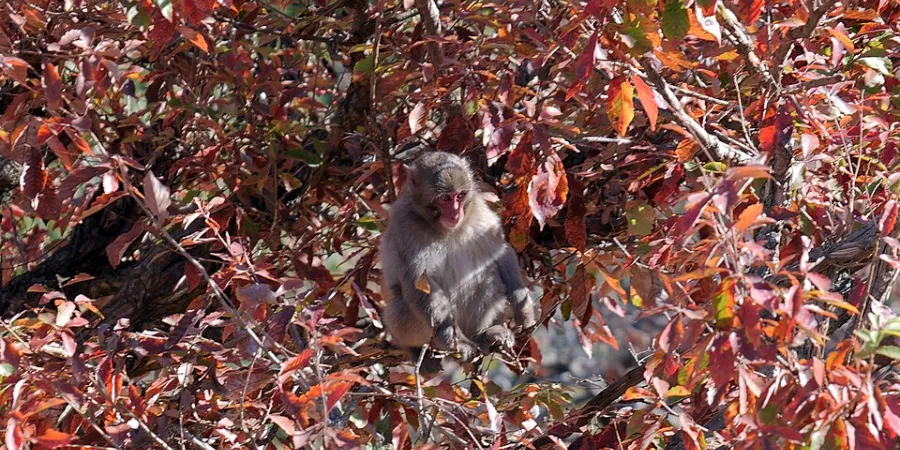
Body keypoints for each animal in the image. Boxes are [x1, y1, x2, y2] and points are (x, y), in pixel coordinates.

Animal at [379, 151, 540, 373]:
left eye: (460, 196)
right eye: (445, 198)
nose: (456, 213)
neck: (443, 228)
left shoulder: (479, 209)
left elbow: (501, 253)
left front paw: (523, 310)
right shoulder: (405, 225)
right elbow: (419, 284)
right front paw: (455, 343)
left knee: (488, 279)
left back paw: (484, 334)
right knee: (399, 307)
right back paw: (418, 350)